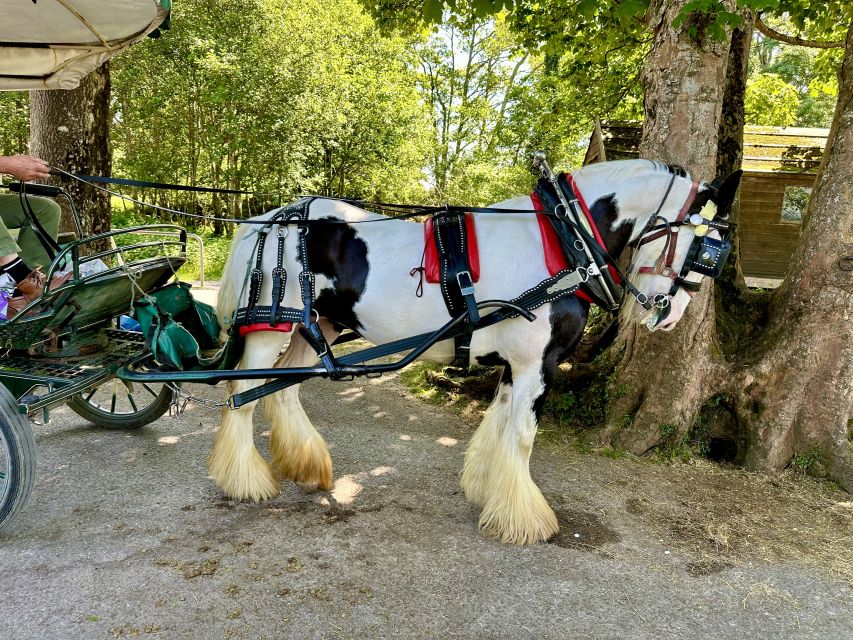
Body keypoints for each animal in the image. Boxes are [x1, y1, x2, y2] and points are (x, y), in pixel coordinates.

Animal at [210, 158, 741, 545]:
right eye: (707, 247)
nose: (670, 316)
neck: (563, 242)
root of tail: (266, 220)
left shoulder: (517, 365)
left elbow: (499, 426)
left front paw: (490, 493)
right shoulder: (537, 365)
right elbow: (522, 437)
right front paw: (525, 519)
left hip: (316, 326)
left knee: (283, 391)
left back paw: (305, 467)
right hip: (269, 329)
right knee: (242, 393)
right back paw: (245, 480)